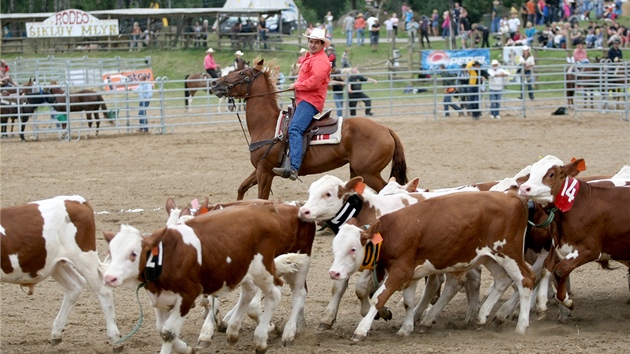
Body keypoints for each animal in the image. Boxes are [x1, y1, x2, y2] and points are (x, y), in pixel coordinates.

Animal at [0, 195, 122, 350]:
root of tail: (76, 200)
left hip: (85, 258)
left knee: (103, 291)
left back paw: (115, 338)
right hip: (56, 264)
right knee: (75, 285)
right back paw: (56, 333)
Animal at [105, 202, 318, 354]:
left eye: (134, 253)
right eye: (111, 251)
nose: (109, 277)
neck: (167, 257)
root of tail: (269, 210)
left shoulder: (188, 295)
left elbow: (168, 332)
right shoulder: (160, 298)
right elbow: (162, 329)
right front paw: (187, 348)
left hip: (267, 268)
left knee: (281, 293)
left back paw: (267, 337)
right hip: (244, 270)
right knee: (249, 292)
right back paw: (233, 330)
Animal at [212, 59, 410, 201]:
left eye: (241, 73)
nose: (214, 83)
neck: (267, 124)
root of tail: (386, 129)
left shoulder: (265, 172)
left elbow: (262, 198)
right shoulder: (260, 169)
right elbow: (242, 187)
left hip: (369, 173)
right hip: (357, 171)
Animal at [326, 191, 540, 340]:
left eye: (353, 249)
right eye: (335, 247)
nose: (334, 273)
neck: (391, 232)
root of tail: (512, 197)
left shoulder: (400, 272)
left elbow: (379, 298)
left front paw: (361, 330)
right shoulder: (410, 275)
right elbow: (408, 302)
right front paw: (406, 328)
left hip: (509, 254)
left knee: (526, 280)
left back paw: (521, 325)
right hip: (488, 257)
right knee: (502, 280)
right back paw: (483, 315)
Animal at [520, 157, 630, 316]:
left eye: (551, 174)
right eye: (531, 172)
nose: (524, 188)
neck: (576, 205)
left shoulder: (590, 250)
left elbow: (561, 269)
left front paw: (567, 301)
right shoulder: (558, 244)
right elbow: (547, 267)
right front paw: (541, 302)